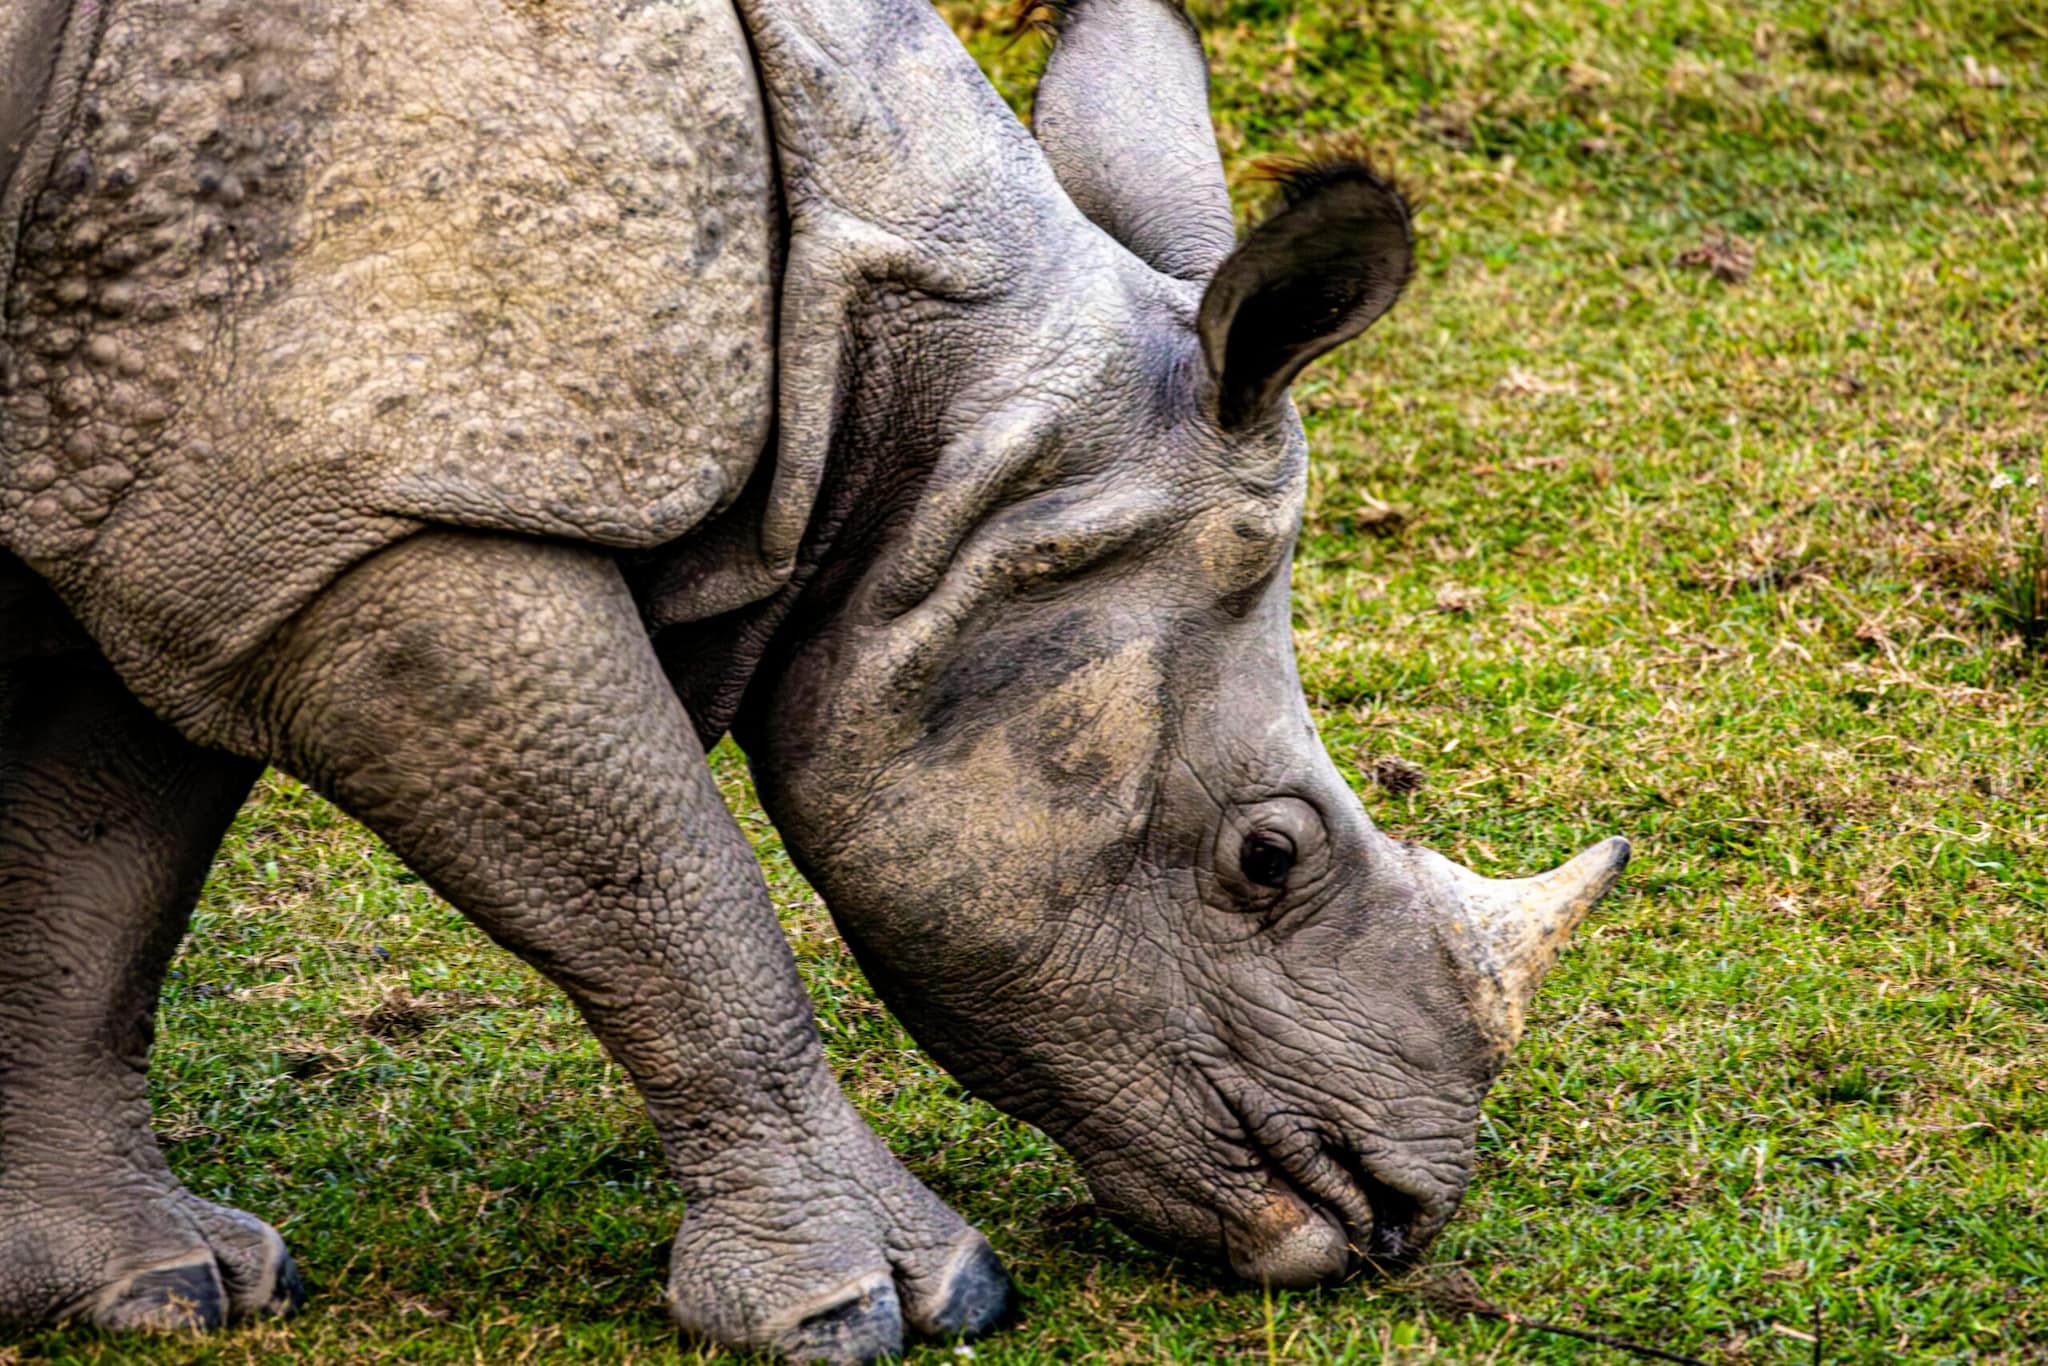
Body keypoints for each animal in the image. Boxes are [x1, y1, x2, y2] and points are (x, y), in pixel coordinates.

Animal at [0, 0, 1630, 1358]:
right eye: (1267, 856)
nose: (1400, 1214)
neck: (914, 411)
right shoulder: (371, 504)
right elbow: (668, 884)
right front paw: (889, 1304)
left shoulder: (183, 487)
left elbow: (91, 893)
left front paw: (154, 1287)